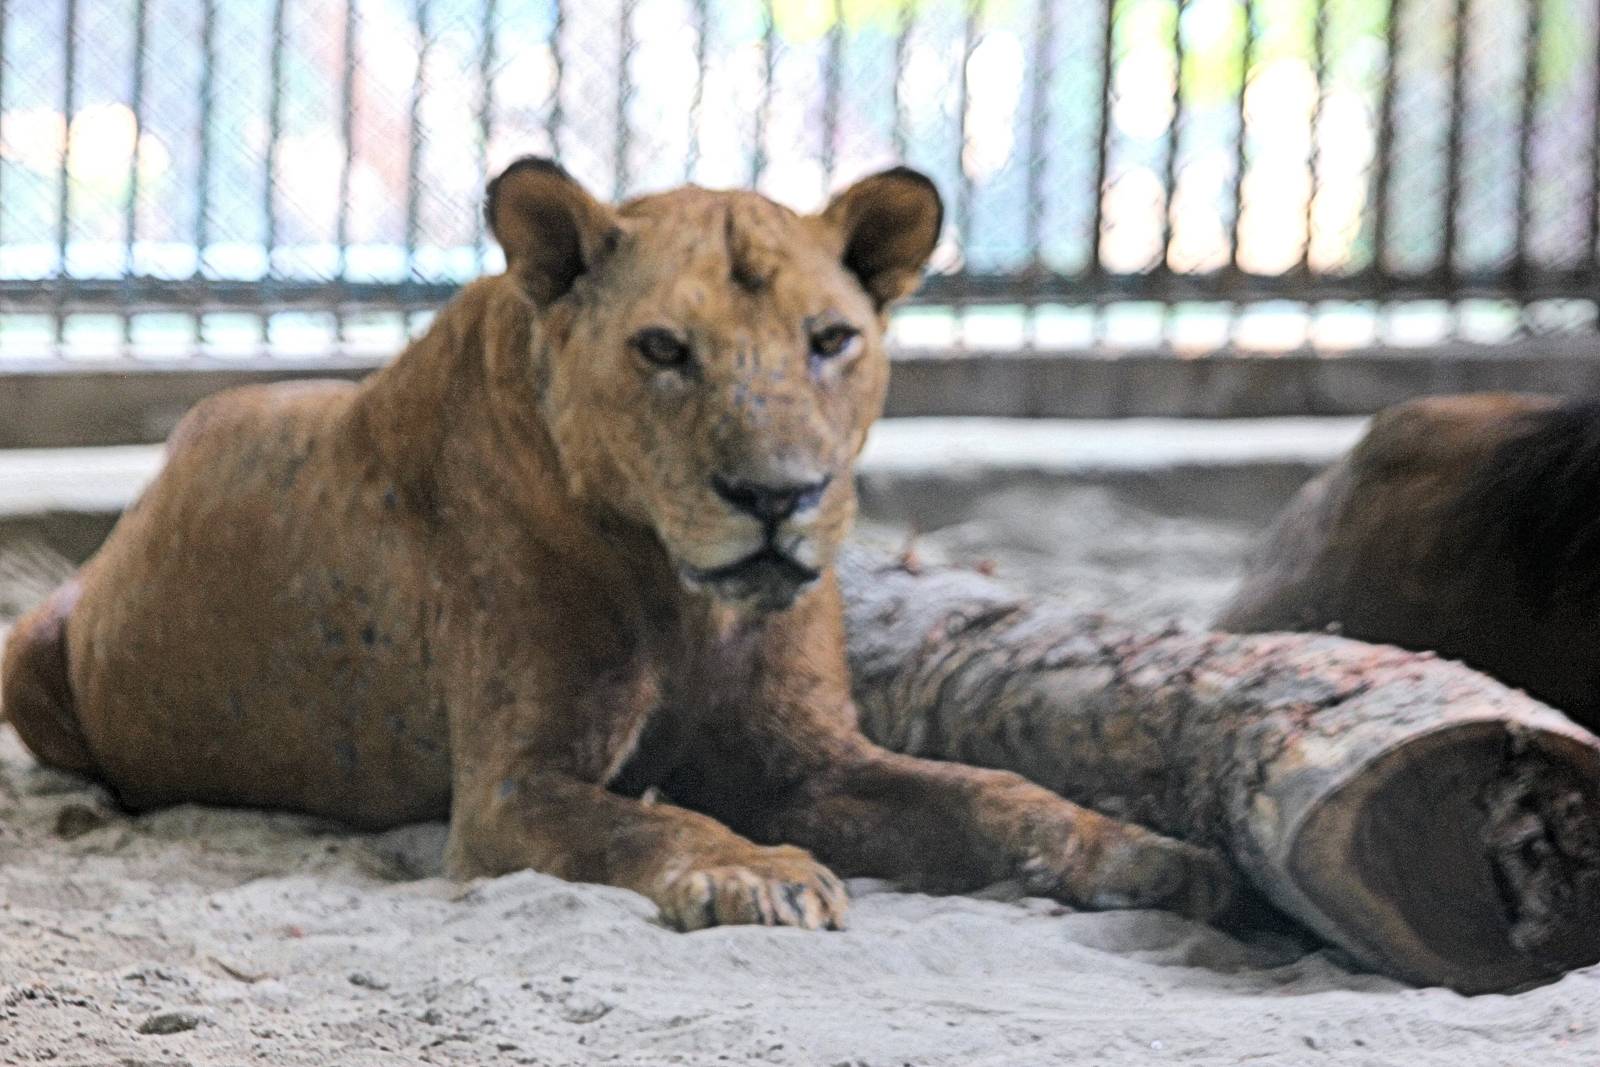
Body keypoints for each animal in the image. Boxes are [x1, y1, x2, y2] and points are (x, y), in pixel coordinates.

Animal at [2, 159, 1234, 931]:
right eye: (663, 348)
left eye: (829, 339)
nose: (778, 496)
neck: (683, 592)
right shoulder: (512, 786)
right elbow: (654, 818)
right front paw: (757, 874)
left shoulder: (806, 756)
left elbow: (992, 793)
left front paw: (1156, 853)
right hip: (29, 648)